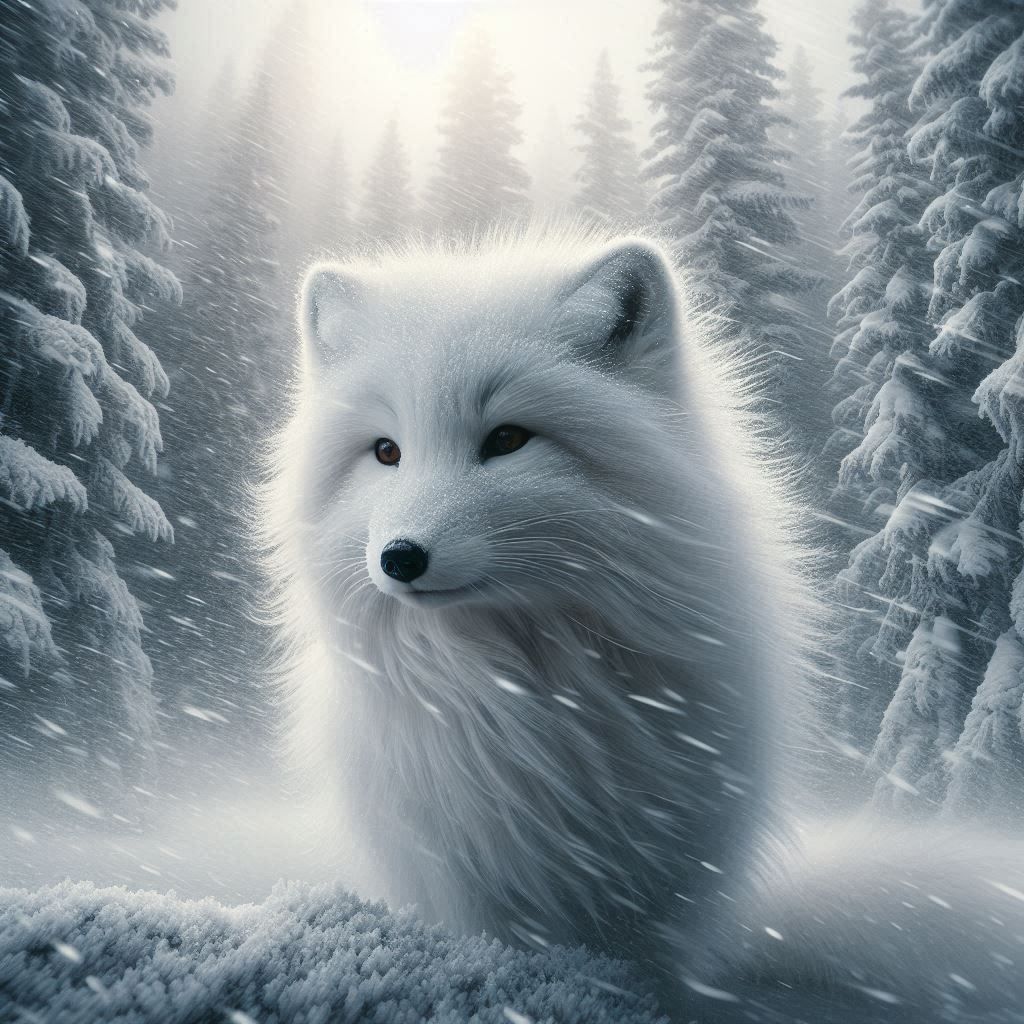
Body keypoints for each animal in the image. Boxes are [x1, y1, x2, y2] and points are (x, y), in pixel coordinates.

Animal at [261, 226, 1024, 1021]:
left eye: (506, 439)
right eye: (386, 451)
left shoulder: (668, 872)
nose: (401, 557)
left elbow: (644, 966)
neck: (525, 684)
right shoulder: (459, 870)